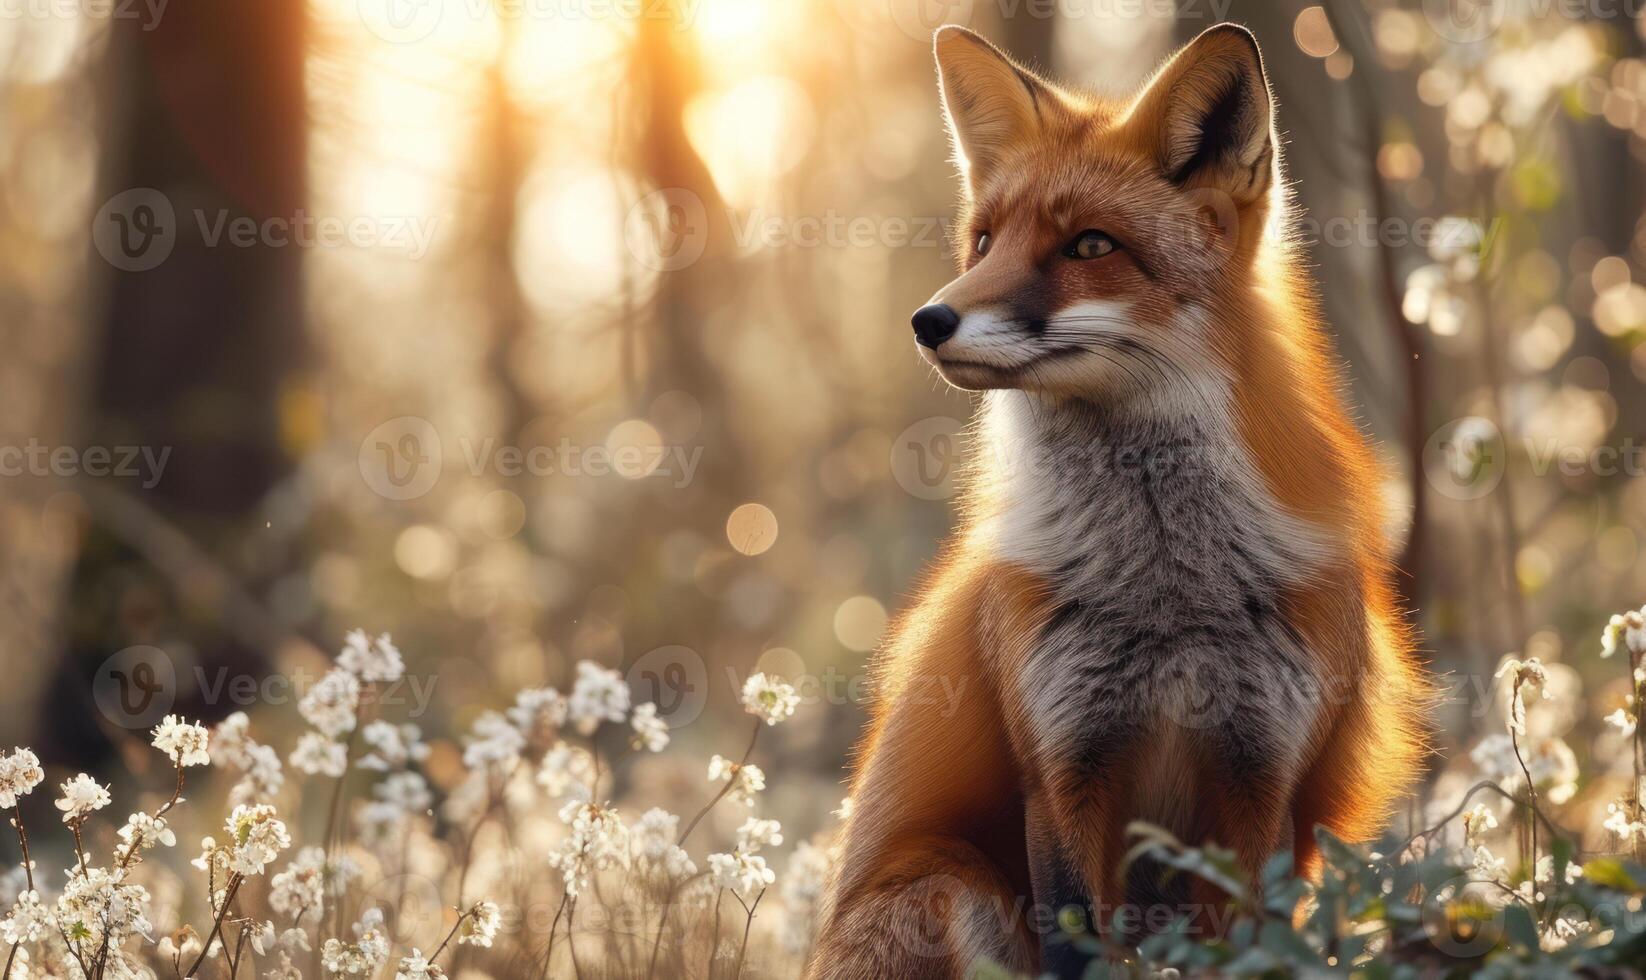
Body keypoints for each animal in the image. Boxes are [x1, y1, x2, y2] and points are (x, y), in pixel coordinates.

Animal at [809, 24, 1428, 980]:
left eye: (1091, 247)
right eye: (982, 242)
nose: (928, 321)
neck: (1170, 595)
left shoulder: (1262, 783)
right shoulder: (1062, 773)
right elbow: (1078, 941)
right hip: (955, 884)